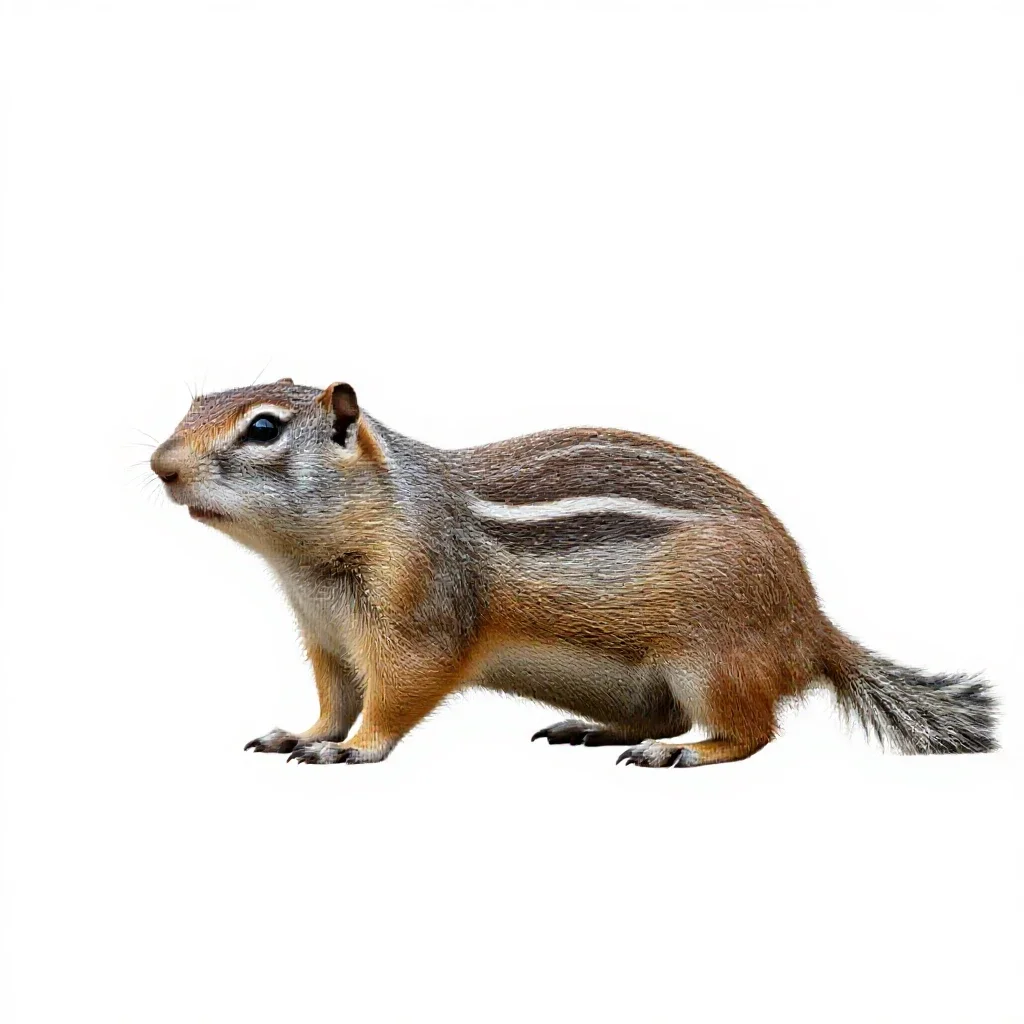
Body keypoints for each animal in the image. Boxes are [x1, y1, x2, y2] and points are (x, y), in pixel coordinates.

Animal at [151, 379, 997, 767]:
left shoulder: (420, 616)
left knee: (751, 731)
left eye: (264, 428)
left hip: (712, 657)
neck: (306, 566)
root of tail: (810, 623)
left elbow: (397, 694)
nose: (162, 466)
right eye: (192, 403)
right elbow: (333, 699)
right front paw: (301, 733)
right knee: (667, 714)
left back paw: (684, 754)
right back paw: (594, 730)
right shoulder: (326, 639)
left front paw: (352, 749)